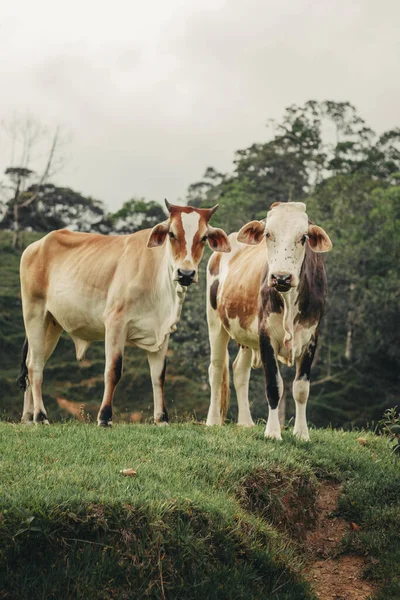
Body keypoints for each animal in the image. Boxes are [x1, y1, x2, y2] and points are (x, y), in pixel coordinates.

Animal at [18, 202, 230, 426]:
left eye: (204, 237)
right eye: (172, 234)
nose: (186, 274)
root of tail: (36, 245)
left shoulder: (162, 331)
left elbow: (158, 375)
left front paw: (162, 418)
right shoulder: (115, 323)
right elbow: (113, 370)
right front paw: (104, 417)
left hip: (52, 325)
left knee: (33, 363)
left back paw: (28, 417)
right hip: (35, 315)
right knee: (34, 366)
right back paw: (40, 416)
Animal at [206, 202, 332, 440]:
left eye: (303, 237)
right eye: (267, 234)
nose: (281, 277)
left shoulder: (312, 337)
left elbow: (301, 388)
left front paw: (302, 433)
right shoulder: (266, 336)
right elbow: (274, 386)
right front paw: (273, 432)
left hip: (245, 334)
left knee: (240, 370)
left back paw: (245, 422)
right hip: (215, 322)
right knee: (216, 369)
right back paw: (213, 421)